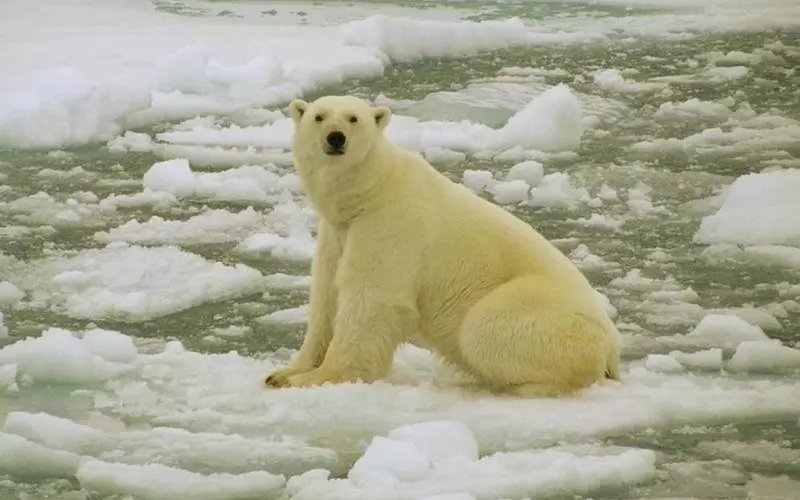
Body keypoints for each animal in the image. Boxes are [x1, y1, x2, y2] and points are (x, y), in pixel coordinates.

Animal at [266, 95, 620, 396]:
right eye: (319, 116)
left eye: (354, 118)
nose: (336, 137)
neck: (371, 191)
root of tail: (613, 347)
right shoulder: (337, 233)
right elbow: (326, 298)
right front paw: (283, 372)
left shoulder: (391, 225)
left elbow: (370, 299)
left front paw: (317, 377)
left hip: (545, 313)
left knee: (483, 329)